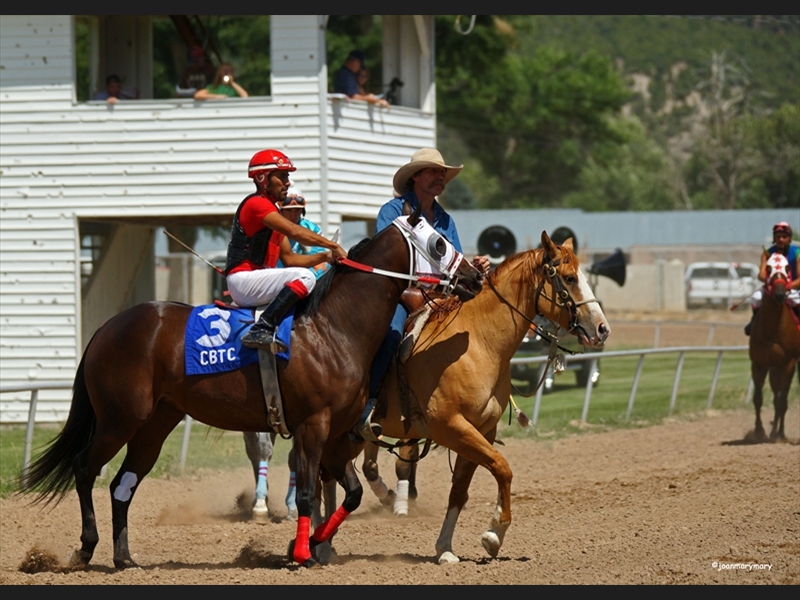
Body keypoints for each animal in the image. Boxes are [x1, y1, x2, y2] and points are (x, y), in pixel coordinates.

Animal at [20, 209, 482, 568]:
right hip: (120, 419)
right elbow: (308, 493)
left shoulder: (335, 432)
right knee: (85, 467)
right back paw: (86, 549)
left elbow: (349, 495)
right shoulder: (313, 425)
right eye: (439, 243)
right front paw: (302, 553)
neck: (333, 327)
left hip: (155, 424)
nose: (475, 276)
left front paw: (310, 545)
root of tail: (107, 327)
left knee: (123, 483)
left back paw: (124, 557)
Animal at [354, 231, 608, 564]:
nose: (602, 329)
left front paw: (446, 548)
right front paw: (494, 533)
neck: (479, 343)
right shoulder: (451, 427)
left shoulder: (481, 429)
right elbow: (502, 467)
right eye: (568, 278)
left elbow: (460, 490)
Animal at [752, 252, 800, 440]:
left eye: (787, 268)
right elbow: (758, 398)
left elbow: (782, 400)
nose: (780, 294)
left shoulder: (788, 363)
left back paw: (778, 432)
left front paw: (779, 434)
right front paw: (759, 431)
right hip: (773, 369)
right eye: (768, 268)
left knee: (780, 399)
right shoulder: (759, 363)